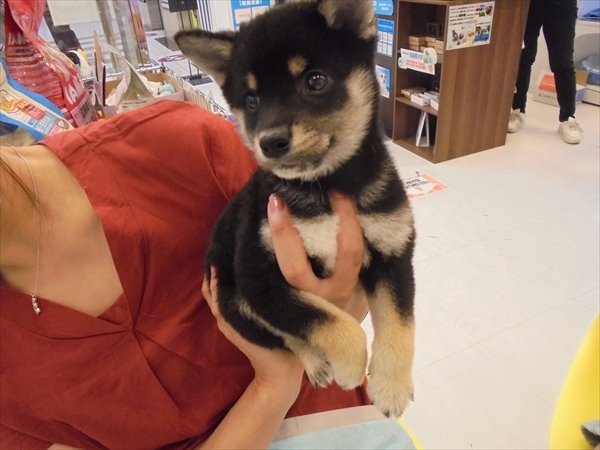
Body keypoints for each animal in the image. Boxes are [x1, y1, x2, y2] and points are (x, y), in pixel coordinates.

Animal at [175, 0, 416, 417]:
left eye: (315, 81)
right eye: (251, 100)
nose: (270, 142)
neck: (327, 186)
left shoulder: (394, 250)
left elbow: (400, 326)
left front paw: (392, 385)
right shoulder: (257, 277)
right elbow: (324, 320)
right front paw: (351, 366)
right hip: (234, 300)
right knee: (286, 339)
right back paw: (316, 363)